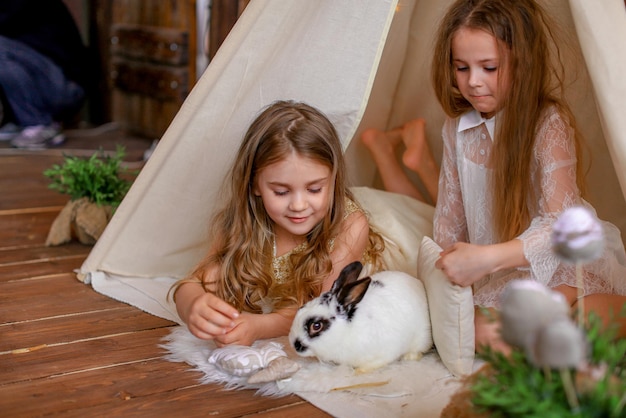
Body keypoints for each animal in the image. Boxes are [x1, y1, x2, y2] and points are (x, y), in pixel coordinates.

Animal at [286, 262, 428, 372]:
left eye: (316, 326)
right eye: (301, 308)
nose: (294, 344)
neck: (345, 332)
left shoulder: (382, 354)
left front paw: (358, 372)